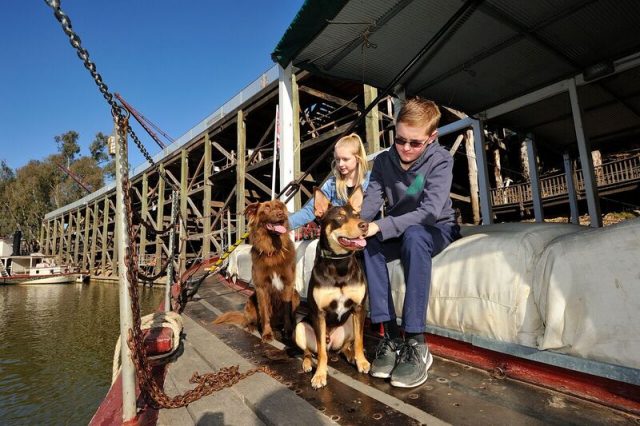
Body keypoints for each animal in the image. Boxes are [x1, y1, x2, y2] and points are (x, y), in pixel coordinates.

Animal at [212, 200, 298, 342]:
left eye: (279, 207)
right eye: (267, 208)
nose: (281, 214)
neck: (272, 249)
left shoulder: (288, 284)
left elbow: (287, 311)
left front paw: (288, 332)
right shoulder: (261, 287)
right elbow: (264, 312)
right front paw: (267, 334)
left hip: (296, 295)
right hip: (251, 301)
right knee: (250, 320)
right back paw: (253, 327)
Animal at [296, 188, 370, 388]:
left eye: (357, 215)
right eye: (340, 217)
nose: (365, 225)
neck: (339, 264)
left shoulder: (359, 308)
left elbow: (360, 341)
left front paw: (362, 361)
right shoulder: (319, 313)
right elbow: (321, 352)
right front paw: (320, 375)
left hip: (349, 324)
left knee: (344, 347)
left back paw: (351, 356)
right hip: (300, 328)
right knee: (310, 351)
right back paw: (307, 363)